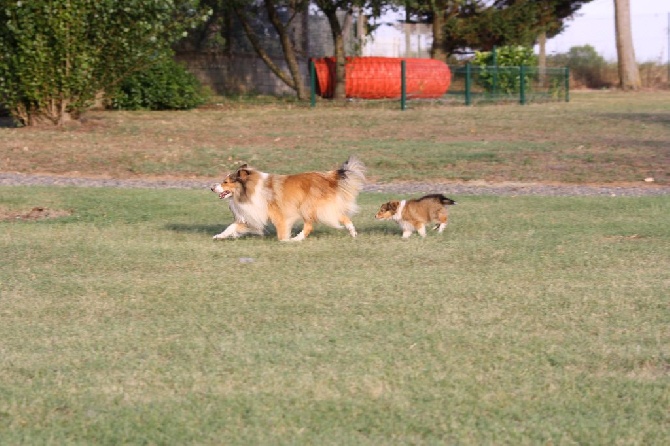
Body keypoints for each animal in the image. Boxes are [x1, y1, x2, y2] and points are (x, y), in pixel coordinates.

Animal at [211, 156, 364, 242]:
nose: (212, 188)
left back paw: (295, 240)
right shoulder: (254, 214)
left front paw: (285, 240)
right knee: (343, 217)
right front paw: (219, 236)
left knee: (309, 226)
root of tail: (328, 177)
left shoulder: (279, 214)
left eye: (225, 182)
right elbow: (232, 226)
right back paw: (353, 234)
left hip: (307, 207)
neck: (250, 189)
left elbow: (281, 233)